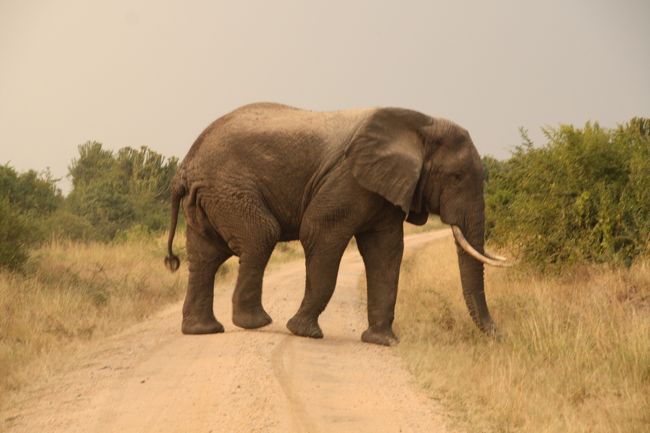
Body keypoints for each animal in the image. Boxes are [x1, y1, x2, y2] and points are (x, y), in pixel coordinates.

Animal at [165, 100, 508, 344]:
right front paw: (305, 333)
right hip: (228, 189)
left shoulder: (382, 189)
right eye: (457, 177)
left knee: (205, 256)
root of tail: (185, 167)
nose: (502, 337)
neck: (421, 125)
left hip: (210, 197)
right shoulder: (347, 179)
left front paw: (383, 342)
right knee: (261, 236)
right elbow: (319, 233)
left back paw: (203, 330)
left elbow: (386, 251)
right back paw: (256, 323)